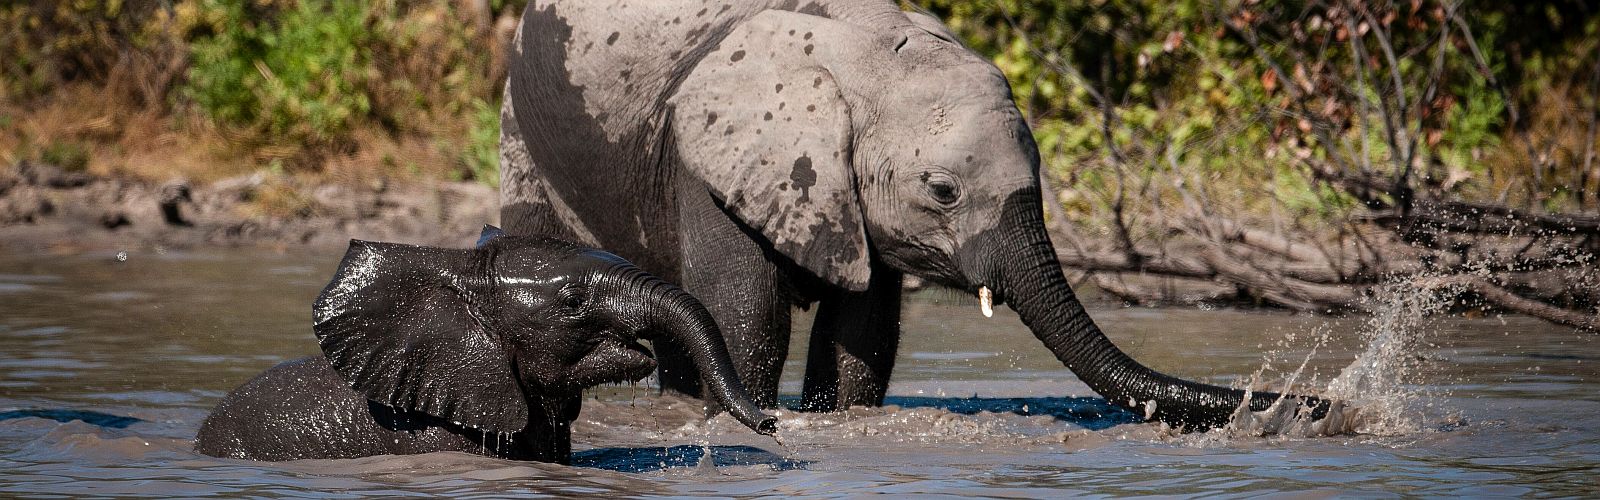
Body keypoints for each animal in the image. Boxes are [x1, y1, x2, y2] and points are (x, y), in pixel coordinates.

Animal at [499, 0, 1324, 429]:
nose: (1318, 404)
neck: (861, 57)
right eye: (943, 191)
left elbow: (863, 334)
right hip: (522, 128)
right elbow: (746, 319)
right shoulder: (710, 160)